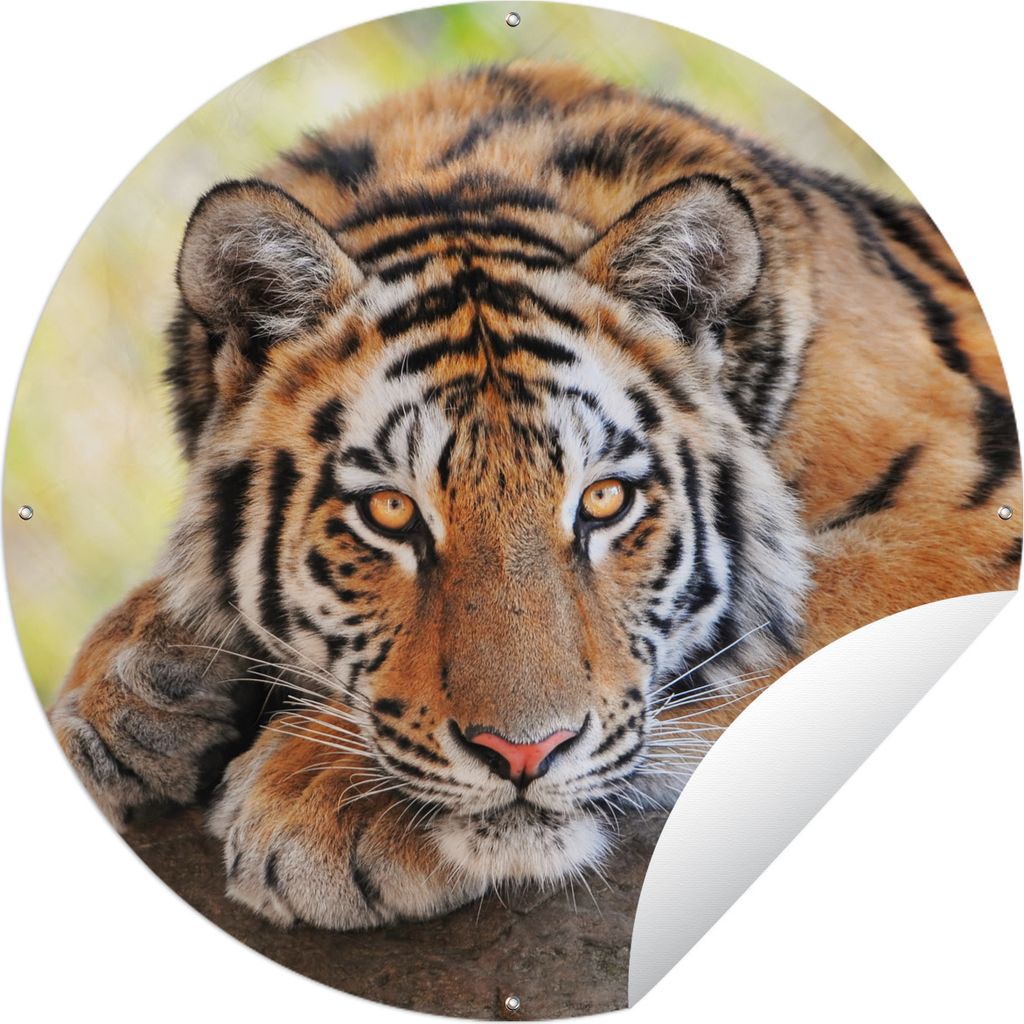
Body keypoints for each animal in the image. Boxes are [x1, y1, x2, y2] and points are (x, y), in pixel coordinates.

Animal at [49, 61, 1021, 931]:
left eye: (604, 502)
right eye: (390, 512)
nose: (525, 754)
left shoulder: (970, 514)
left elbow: (780, 627)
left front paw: (320, 793)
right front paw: (129, 696)